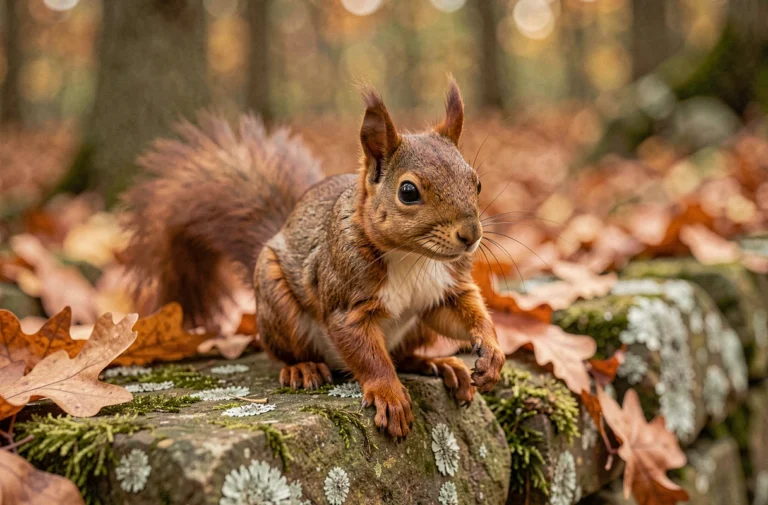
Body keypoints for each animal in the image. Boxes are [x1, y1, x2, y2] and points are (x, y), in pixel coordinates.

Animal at [121, 79, 505, 438]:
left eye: (477, 183)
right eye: (408, 191)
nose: (471, 234)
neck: (413, 258)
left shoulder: (445, 288)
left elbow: (464, 315)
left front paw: (492, 352)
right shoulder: (346, 303)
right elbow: (370, 358)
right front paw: (390, 396)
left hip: (416, 331)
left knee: (402, 355)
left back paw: (439, 363)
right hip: (278, 305)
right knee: (288, 352)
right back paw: (302, 368)